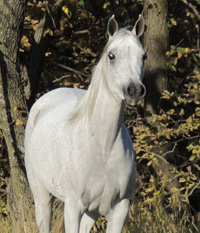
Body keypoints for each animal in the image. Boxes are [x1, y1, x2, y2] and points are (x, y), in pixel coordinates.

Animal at [25, 15, 146, 233]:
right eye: (111, 56)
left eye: (144, 56)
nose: (135, 91)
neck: (103, 148)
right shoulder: (73, 206)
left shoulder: (120, 209)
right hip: (41, 195)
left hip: (92, 212)